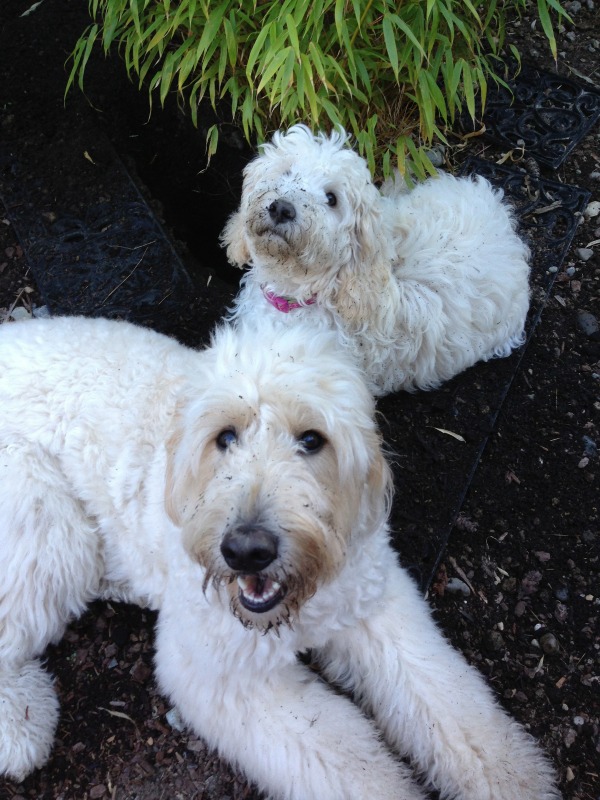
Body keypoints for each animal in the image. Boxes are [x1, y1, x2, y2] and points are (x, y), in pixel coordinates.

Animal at [2, 316, 560, 796]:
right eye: (225, 436)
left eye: (312, 440)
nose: (246, 551)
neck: (298, 605)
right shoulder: (224, 678)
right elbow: (348, 763)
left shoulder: (375, 607)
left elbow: (448, 701)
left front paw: (513, 780)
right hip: (47, 527)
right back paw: (21, 726)